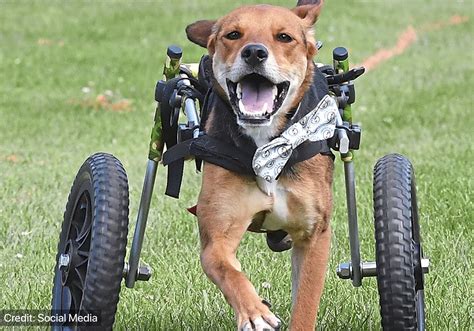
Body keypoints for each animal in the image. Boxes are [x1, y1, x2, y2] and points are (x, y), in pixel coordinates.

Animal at [185, 1, 334, 330]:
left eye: (284, 37)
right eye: (233, 34)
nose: (254, 52)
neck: (265, 146)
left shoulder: (314, 235)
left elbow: (306, 302)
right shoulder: (217, 237)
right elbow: (228, 271)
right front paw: (254, 311)